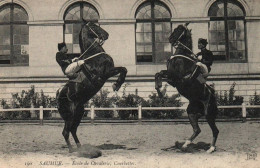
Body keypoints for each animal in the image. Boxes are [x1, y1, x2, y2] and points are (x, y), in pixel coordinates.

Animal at [56, 20, 127, 152]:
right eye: (93, 26)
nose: (106, 35)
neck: (94, 55)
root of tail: (58, 96)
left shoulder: (110, 70)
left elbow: (124, 69)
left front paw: (117, 84)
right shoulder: (105, 73)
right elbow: (123, 69)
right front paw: (116, 85)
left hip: (79, 112)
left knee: (73, 130)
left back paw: (80, 147)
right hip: (70, 114)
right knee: (66, 132)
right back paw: (72, 150)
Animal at [155, 23, 218, 154]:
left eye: (180, 30)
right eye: (175, 29)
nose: (170, 39)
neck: (182, 57)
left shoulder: (177, 78)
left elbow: (161, 75)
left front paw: (160, 90)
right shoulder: (171, 77)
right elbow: (158, 74)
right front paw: (159, 91)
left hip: (209, 115)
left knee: (215, 131)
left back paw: (211, 148)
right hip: (191, 113)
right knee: (197, 130)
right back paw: (185, 145)